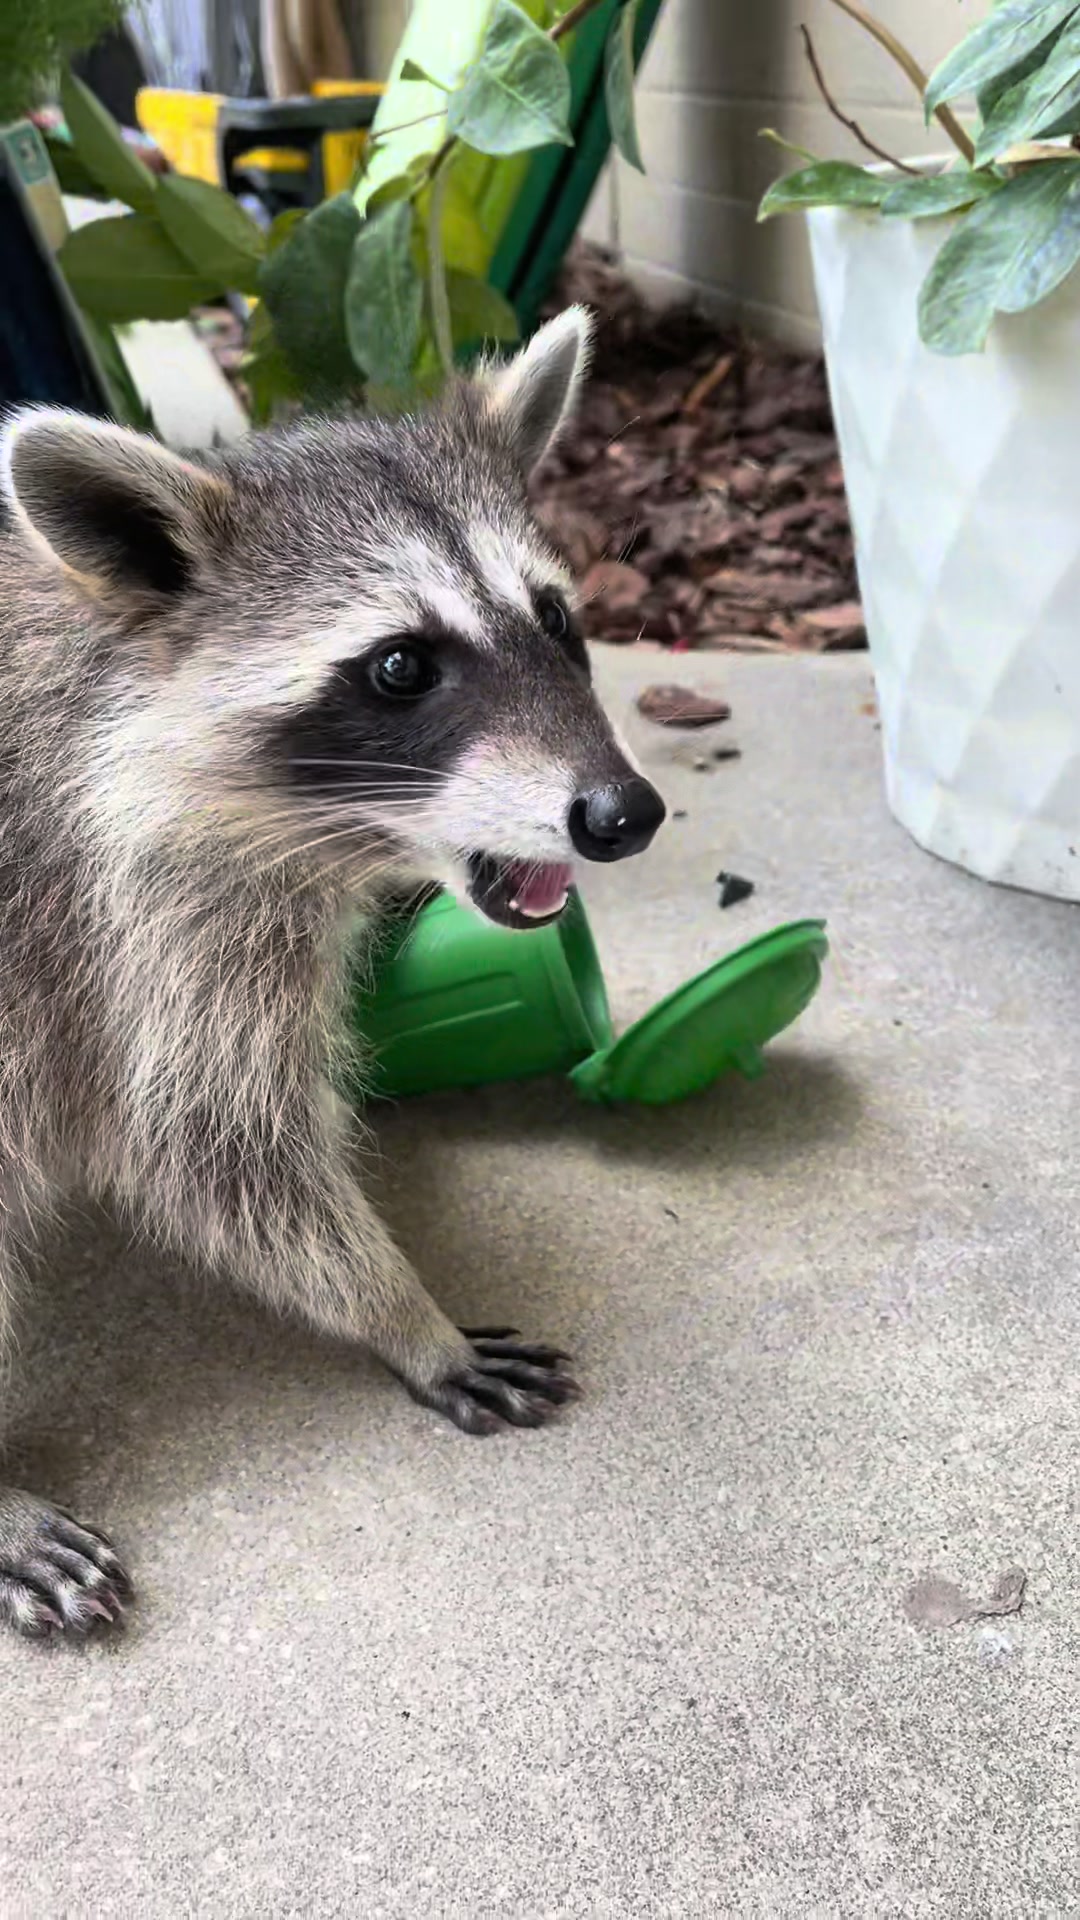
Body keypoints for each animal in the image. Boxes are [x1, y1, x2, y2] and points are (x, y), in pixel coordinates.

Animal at [0, 307, 665, 1638]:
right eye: (402, 666)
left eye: (556, 622)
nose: (624, 815)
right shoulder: (126, 919)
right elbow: (211, 1147)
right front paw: (404, 1315)